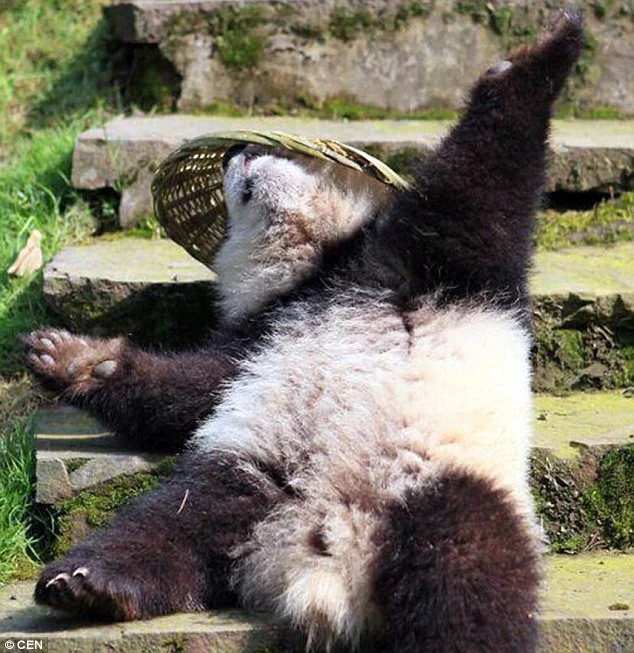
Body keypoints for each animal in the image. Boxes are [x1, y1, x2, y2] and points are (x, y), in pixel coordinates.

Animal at [24, 10, 583, 653]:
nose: (236, 150)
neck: (317, 270)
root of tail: (326, 557)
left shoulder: (413, 266)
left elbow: (477, 191)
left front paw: (547, 45)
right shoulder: (270, 334)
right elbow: (193, 389)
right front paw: (72, 358)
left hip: (447, 489)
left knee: (467, 585)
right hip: (256, 475)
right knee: (170, 525)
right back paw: (87, 583)